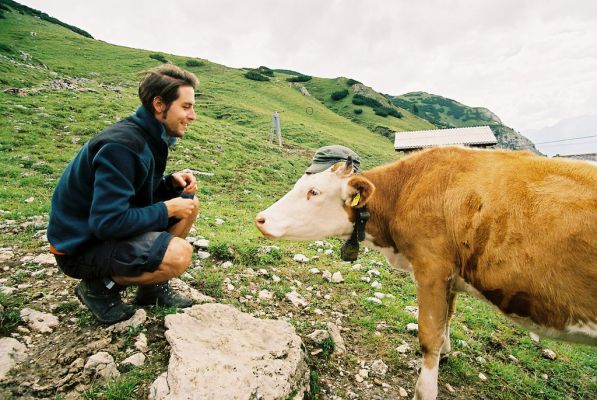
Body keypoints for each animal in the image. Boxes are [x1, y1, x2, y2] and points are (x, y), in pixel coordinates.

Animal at [254, 146, 592, 400]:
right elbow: (447, 318)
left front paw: (425, 389)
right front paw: (446, 351)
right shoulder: (450, 275)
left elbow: (428, 335)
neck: (406, 190)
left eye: (314, 191)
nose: (261, 219)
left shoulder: (431, 267)